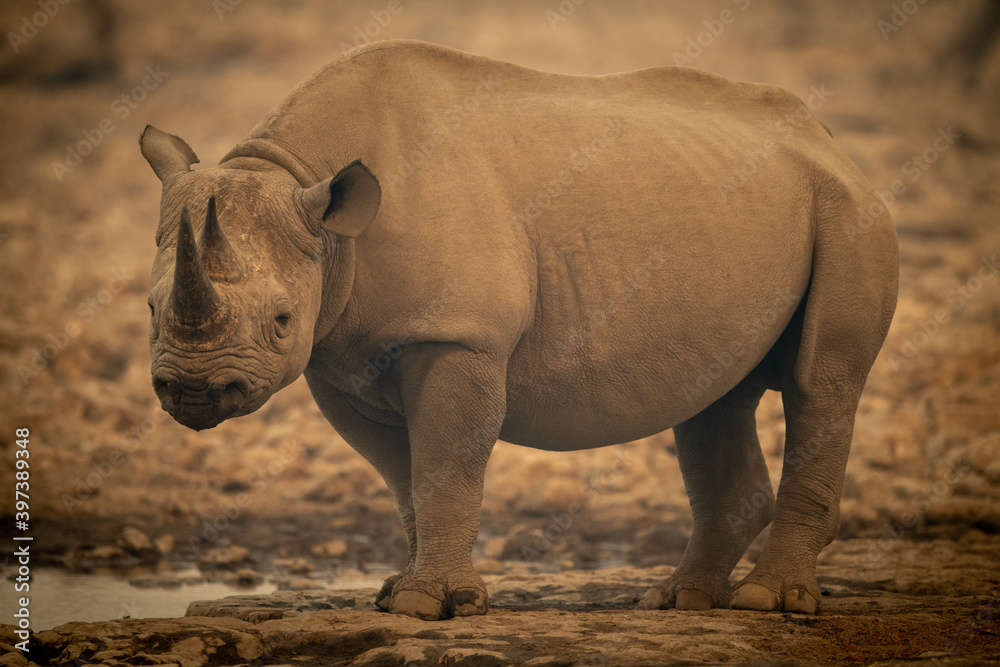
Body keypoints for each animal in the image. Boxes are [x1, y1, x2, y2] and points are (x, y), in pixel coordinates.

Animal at [140, 40, 897, 620]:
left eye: (280, 321)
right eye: (148, 310)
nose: (195, 391)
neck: (309, 191)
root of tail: (831, 142)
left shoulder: (457, 335)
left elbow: (446, 468)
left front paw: (429, 606)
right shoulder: (342, 361)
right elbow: (404, 478)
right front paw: (397, 594)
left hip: (848, 212)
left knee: (821, 382)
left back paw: (769, 602)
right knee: (715, 397)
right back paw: (680, 601)